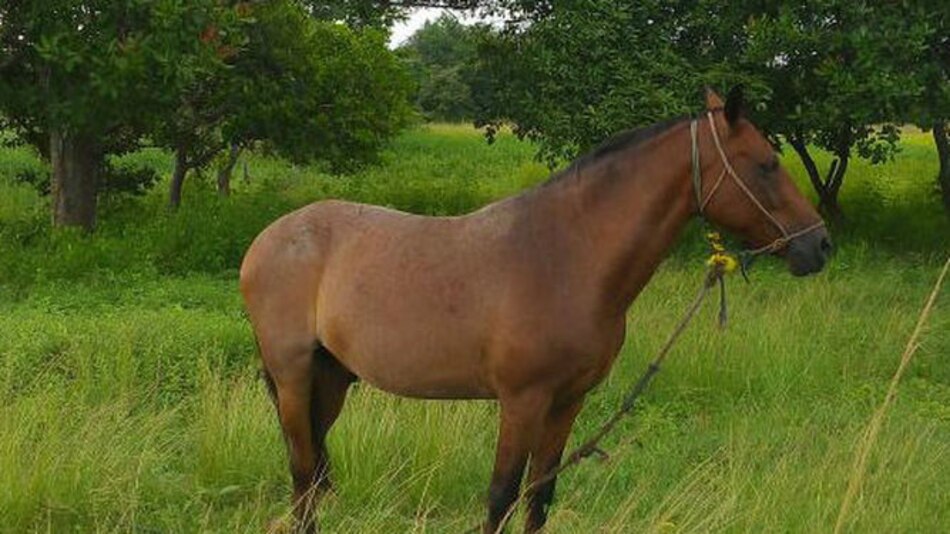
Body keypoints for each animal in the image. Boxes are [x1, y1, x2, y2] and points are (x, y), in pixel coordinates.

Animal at [239, 87, 831, 533]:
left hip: (332, 378)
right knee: (302, 471)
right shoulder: (522, 401)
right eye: (766, 165)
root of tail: (268, 238)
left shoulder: (567, 402)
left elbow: (539, 496)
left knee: (312, 471)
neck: (565, 256)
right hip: (292, 377)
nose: (819, 246)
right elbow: (501, 496)